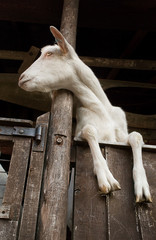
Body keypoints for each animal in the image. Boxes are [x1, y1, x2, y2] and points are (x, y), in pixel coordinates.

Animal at [18, 26, 151, 202]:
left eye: (49, 54)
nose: (21, 78)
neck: (102, 110)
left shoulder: (120, 136)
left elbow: (136, 136)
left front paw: (142, 188)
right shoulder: (80, 131)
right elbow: (89, 130)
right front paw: (107, 178)